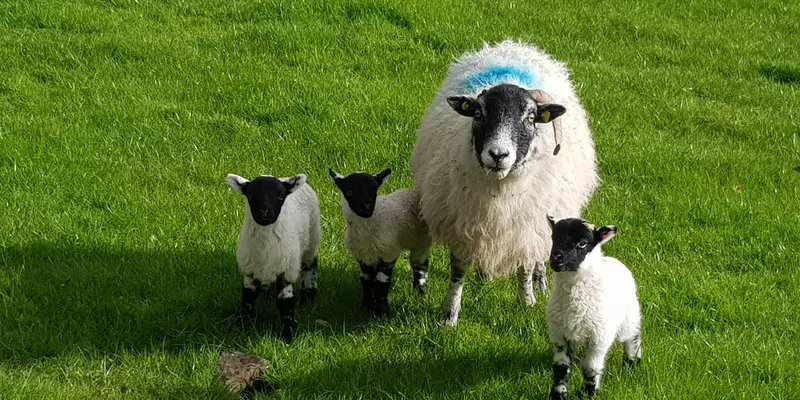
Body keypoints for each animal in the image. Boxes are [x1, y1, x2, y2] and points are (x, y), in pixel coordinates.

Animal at [226, 173, 321, 343]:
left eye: (280, 196)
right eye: (250, 195)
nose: (264, 211)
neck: (265, 249)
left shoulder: (287, 271)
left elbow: (285, 304)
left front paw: (288, 336)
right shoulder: (249, 271)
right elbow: (248, 299)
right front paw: (243, 326)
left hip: (312, 238)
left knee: (309, 266)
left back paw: (308, 296)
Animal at [329, 168, 432, 317]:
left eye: (374, 190)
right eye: (349, 192)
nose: (367, 208)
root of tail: (415, 192)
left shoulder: (389, 253)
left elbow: (381, 282)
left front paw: (382, 314)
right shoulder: (363, 257)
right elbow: (366, 280)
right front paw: (366, 307)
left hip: (421, 242)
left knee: (420, 267)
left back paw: (419, 294)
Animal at [410, 40, 598, 326]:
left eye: (530, 118)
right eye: (478, 114)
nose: (498, 154)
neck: (499, 192)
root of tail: (515, 46)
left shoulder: (525, 226)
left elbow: (525, 266)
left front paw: (528, 301)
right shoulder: (462, 224)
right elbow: (458, 271)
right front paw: (449, 315)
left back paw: (540, 284)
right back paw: (485, 275)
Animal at [546, 215, 642, 399]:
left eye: (582, 243)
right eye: (553, 238)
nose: (555, 259)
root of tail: (612, 260)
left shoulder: (599, 337)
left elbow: (591, 369)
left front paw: (588, 393)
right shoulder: (559, 335)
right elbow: (561, 369)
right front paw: (559, 394)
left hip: (629, 315)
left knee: (633, 336)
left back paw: (632, 363)